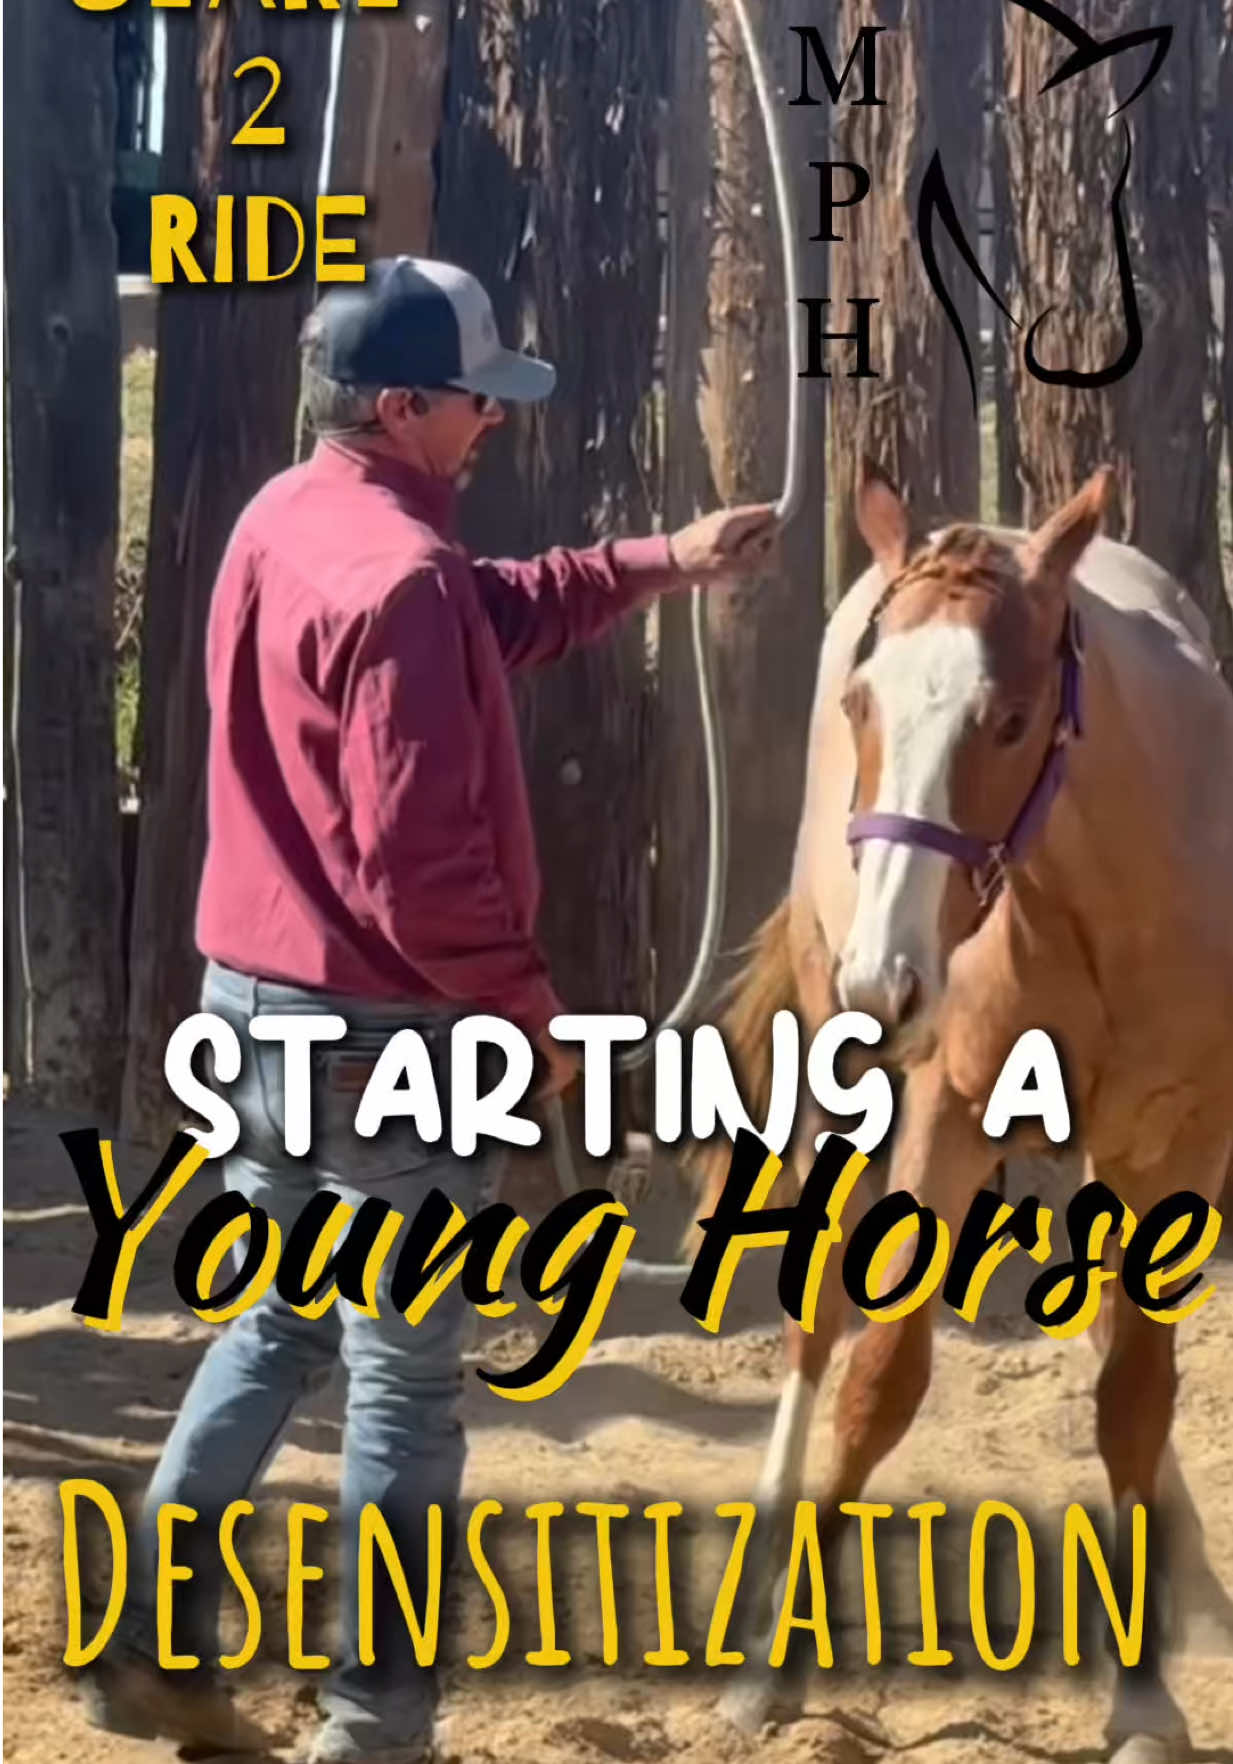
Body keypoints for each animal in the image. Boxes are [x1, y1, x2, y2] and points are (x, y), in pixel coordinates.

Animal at [695, 462, 1233, 1763]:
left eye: (1010, 717)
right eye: (864, 702)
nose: (887, 983)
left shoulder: (1183, 1134)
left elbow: (1134, 1388)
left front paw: (1144, 1695)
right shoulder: (948, 1110)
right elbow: (881, 1376)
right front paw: (776, 1670)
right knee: (817, 1315)